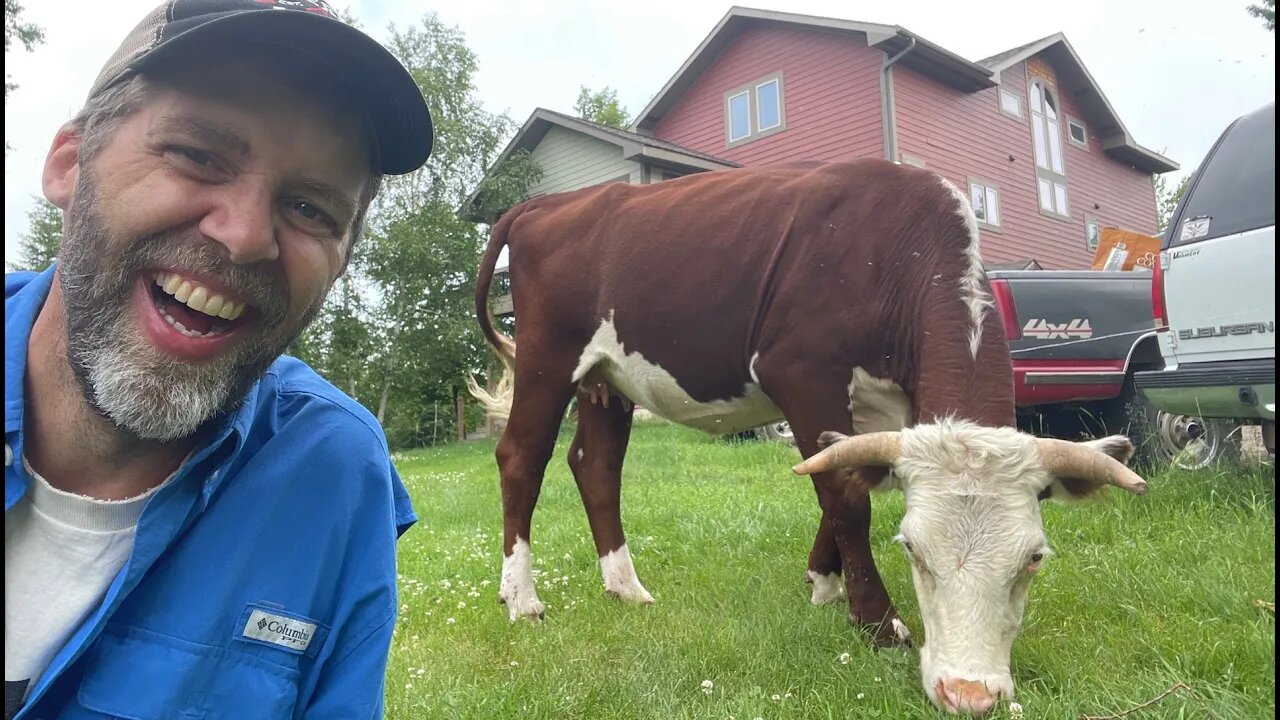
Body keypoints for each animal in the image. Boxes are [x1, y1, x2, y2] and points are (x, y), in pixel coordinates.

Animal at [465, 156, 1146, 712]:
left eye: (1034, 558)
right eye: (912, 550)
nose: (969, 693)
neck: (892, 252)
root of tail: (547, 203)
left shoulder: (889, 411)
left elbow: (841, 476)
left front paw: (824, 583)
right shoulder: (802, 372)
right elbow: (845, 495)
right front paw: (877, 622)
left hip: (605, 379)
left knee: (595, 464)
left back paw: (626, 588)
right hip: (548, 358)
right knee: (522, 457)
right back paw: (521, 598)